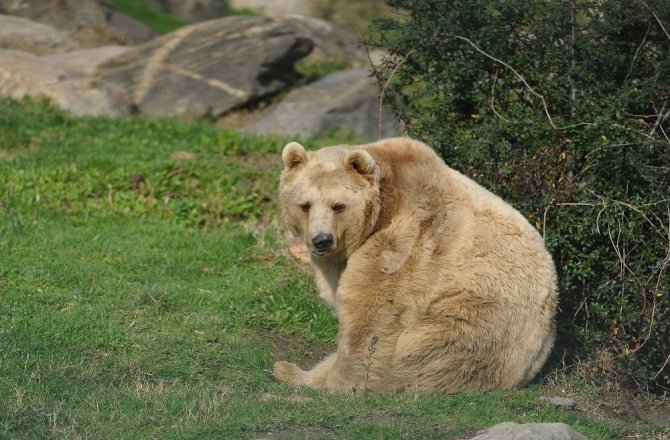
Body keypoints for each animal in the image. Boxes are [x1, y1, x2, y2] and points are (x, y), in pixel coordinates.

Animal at [276, 137, 560, 392]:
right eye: (304, 205)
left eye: (338, 205)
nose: (321, 240)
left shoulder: (407, 236)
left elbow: (373, 313)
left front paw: (337, 380)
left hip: (471, 322)